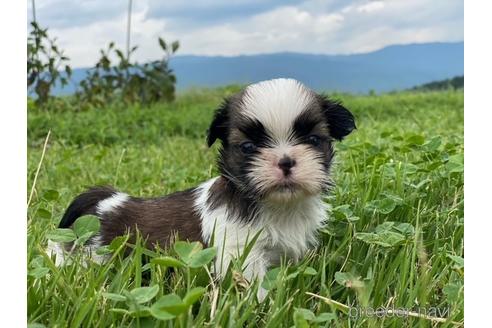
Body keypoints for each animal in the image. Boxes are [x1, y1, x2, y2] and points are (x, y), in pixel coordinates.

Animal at [47, 77, 354, 298]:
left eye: (313, 140)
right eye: (248, 147)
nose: (286, 161)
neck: (276, 207)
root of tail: (107, 201)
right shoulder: (240, 252)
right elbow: (256, 289)